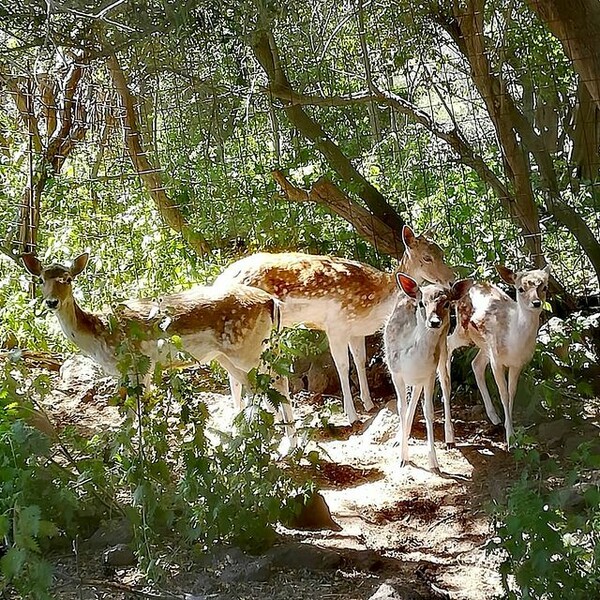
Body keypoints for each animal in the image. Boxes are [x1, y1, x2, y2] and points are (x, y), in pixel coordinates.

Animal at [21, 251, 296, 442]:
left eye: (67, 279)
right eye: (41, 279)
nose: (51, 302)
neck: (98, 335)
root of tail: (271, 302)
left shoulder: (138, 362)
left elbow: (135, 409)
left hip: (248, 349)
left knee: (276, 382)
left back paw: (285, 445)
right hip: (229, 355)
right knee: (259, 385)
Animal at [214, 225, 454, 426]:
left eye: (442, 252)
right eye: (426, 257)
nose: (452, 280)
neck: (375, 305)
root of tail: (219, 281)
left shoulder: (356, 331)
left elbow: (360, 361)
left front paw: (368, 403)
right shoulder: (336, 326)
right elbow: (343, 366)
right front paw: (352, 415)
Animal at [384, 274, 474, 474]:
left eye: (446, 303)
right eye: (421, 303)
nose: (434, 322)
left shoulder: (430, 374)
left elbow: (429, 412)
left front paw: (434, 463)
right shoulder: (396, 372)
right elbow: (402, 408)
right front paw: (403, 458)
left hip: (444, 348)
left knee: (446, 385)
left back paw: (450, 439)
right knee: (412, 399)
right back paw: (399, 439)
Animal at [448, 264, 552, 448]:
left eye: (544, 287)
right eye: (520, 288)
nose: (536, 303)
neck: (514, 343)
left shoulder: (517, 363)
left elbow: (512, 393)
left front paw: (512, 433)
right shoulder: (497, 362)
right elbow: (503, 394)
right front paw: (510, 439)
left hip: (485, 345)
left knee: (476, 364)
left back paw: (494, 417)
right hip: (463, 329)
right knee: (447, 345)